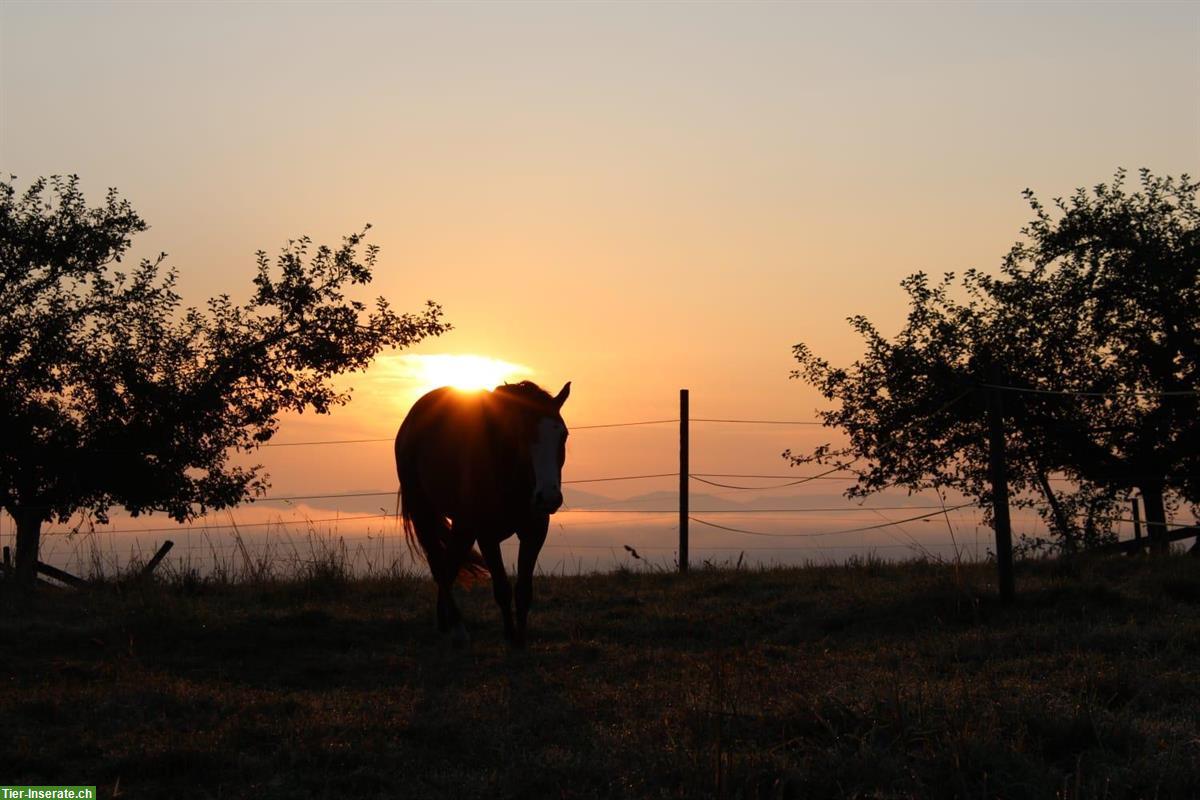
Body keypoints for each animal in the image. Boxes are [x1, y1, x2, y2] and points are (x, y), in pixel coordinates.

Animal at [396, 379, 568, 647]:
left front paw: (521, 639)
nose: (549, 497)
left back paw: (444, 623)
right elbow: (502, 589)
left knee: (448, 565)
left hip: (462, 526)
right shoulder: (487, 536)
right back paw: (457, 628)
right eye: (523, 434)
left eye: (563, 435)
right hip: (426, 514)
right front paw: (510, 638)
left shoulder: (534, 532)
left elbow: (523, 591)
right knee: (440, 565)